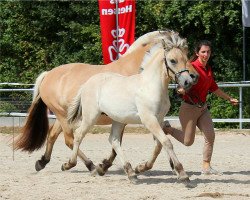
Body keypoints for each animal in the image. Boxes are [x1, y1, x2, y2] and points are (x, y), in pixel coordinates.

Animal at [14, 30, 198, 181]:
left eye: (187, 55)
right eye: (173, 60)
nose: (192, 78)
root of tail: (47, 74)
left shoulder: (146, 119)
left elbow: (156, 143)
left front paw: (164, 168)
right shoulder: (138, 118)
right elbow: (121, 145)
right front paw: (106, 166)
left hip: (65, 116)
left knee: (54, 136)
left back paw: (42, 162)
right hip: (70, 117)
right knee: (71, 138)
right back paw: (90, 166)